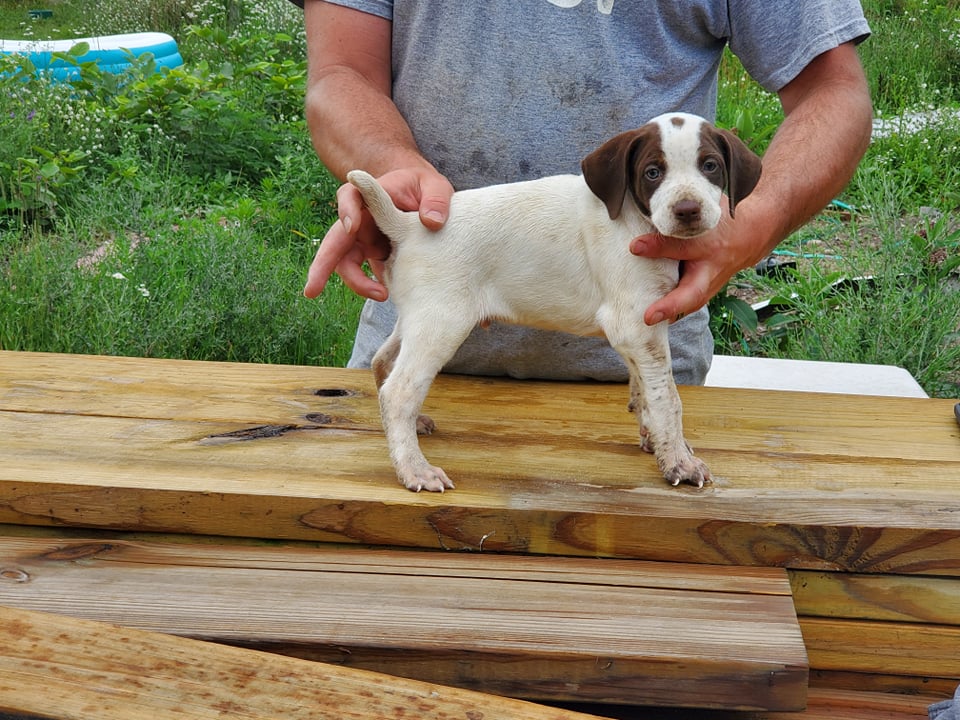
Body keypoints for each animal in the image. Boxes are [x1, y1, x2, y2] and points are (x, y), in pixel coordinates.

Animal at [348, 112, 760, 492]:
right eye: (653, 173)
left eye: (710, 166)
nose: (688, 210)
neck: (635, 221)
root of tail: (409, 225)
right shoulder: (634, 325)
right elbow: (667, 399)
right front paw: (679, 462)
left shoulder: (640, 330)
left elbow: (643, 390)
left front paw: (655, 441)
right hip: (441, 323)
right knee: (398, 392)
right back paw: (414, 470)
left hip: (418, 317)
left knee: (383, 362)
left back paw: (412, 429)